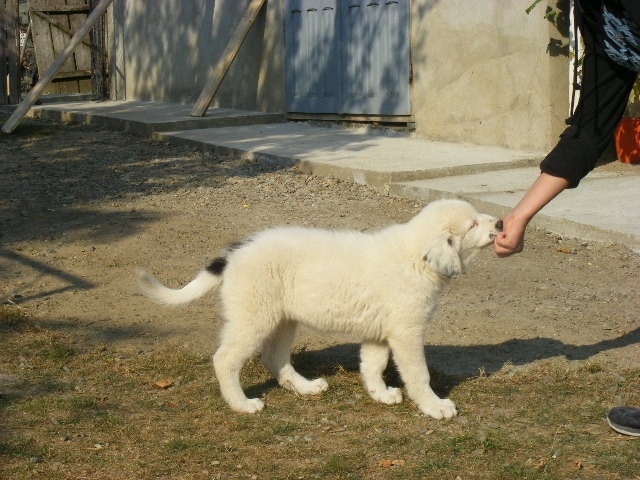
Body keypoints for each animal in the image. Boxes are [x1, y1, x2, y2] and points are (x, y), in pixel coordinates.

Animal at [136, 197, 500, 418]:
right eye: (472, 225)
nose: (498, 224)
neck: (414, 257)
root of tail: (234, 253)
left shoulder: (379, 332)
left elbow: (373, 365)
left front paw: (380, 394)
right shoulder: (406, 332)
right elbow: (418, 374)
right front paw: (435, 406)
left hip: (282, 320)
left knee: (274, 358)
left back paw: (305, 387)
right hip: (253, 317)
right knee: (225, 359)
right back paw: (241, 404)